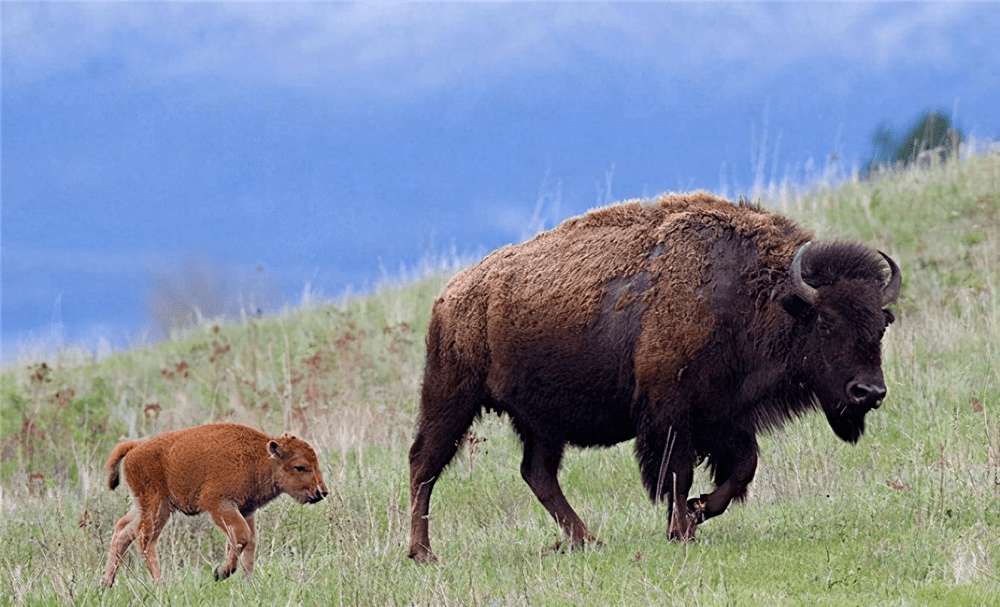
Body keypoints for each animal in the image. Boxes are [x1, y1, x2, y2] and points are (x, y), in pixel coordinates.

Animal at [100, 422, 324, 588]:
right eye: (300, 466)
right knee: (144, 540)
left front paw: (247, 582)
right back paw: (160, 582)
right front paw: (221, 573)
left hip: (144, 507)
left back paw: (106, 584)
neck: (259, 458)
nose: (321, 492)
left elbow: (249, 542)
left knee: (123, 531)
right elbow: (242, 536)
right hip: (157, 507)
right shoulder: (219, 505)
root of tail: (135, 448)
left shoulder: (246, 510)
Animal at [406, 192, 900, 564]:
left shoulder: (724, 417)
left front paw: (697, 514)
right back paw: (423, 554)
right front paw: (683, 528)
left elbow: (742, 469)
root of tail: (450, 297)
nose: (869, 392)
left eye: (881, 326)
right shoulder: (671, 415)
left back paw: (587, 540)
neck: (754, 294)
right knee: (424, 466)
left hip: (542, 423)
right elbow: (676, 473)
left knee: (537, 474)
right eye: (826, 322)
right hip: (451, 399)